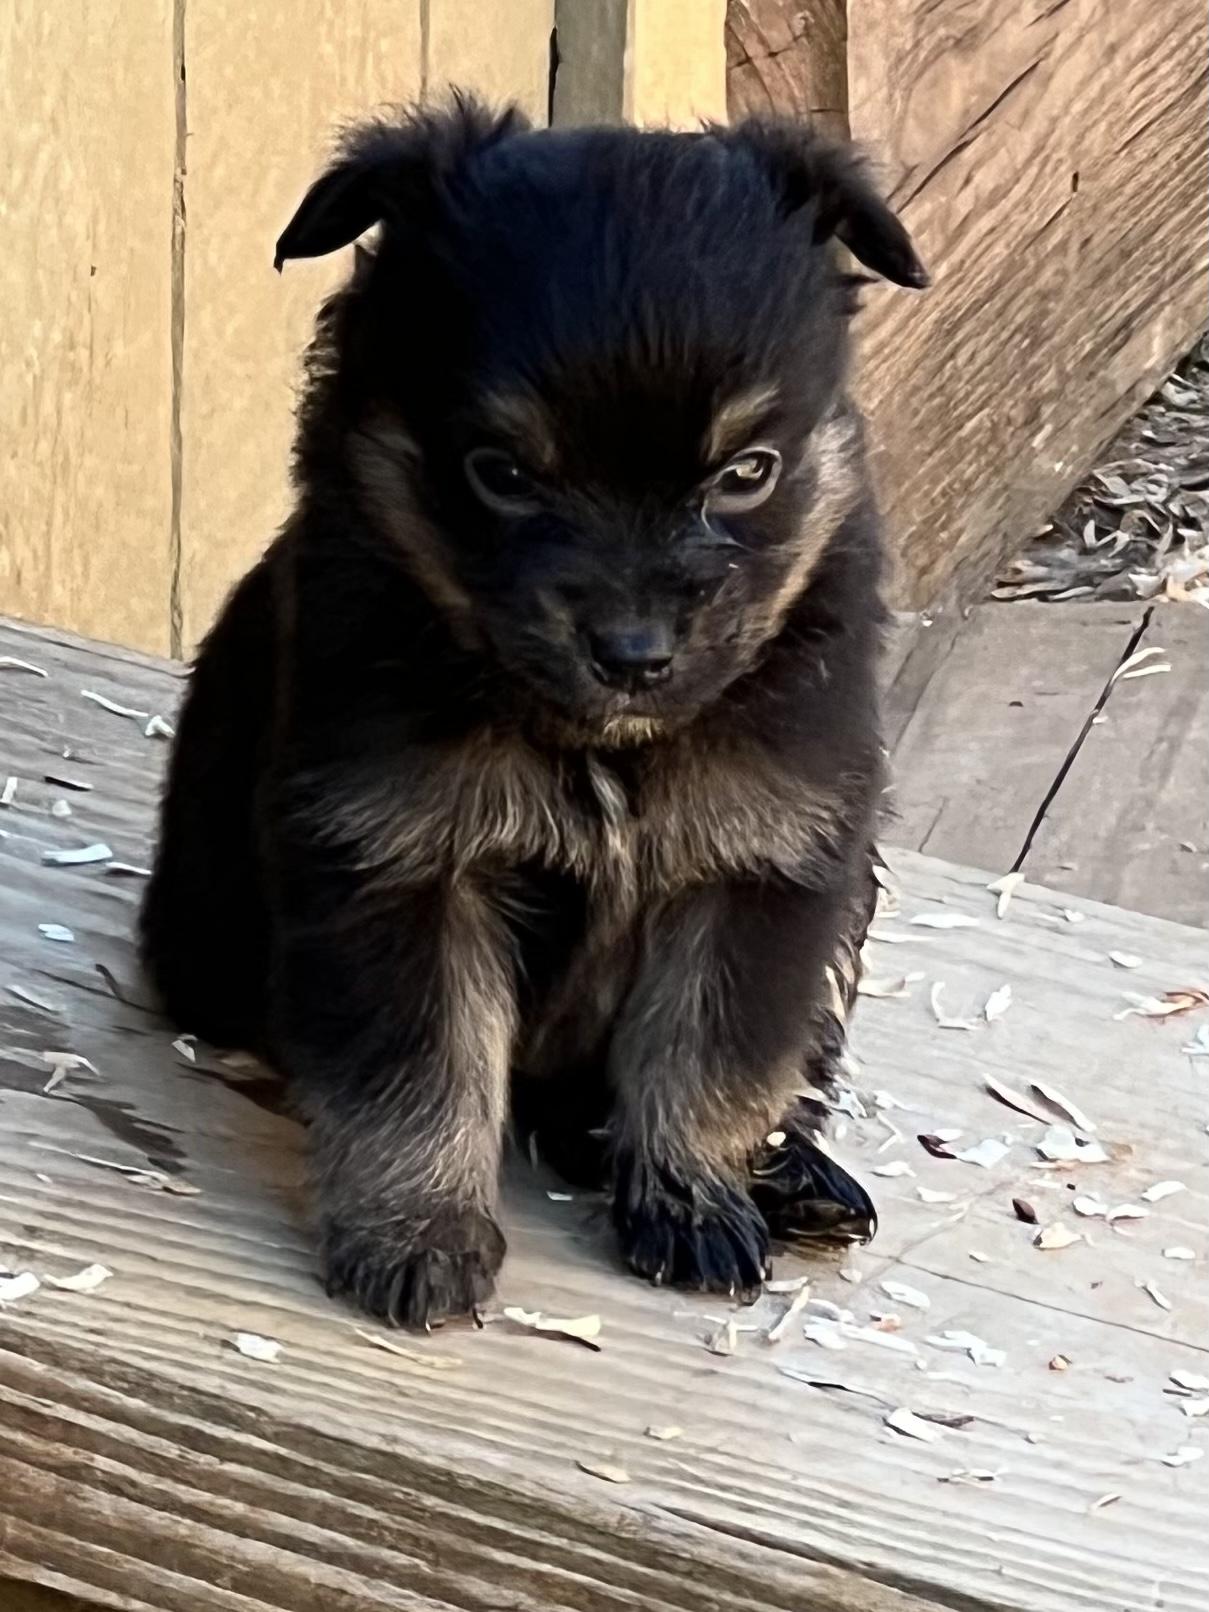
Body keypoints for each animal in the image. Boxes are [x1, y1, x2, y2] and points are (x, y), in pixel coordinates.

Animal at [141, 94, 927, 1326]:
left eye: (748, 471)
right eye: (501, 473)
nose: (634, 653)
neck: (602, 748)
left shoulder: (764, 865)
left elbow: (712, 1052)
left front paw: (694, 1197)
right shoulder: (402, 866)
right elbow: (423, 1068)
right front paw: (418, 1233)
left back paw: (790, 1173)